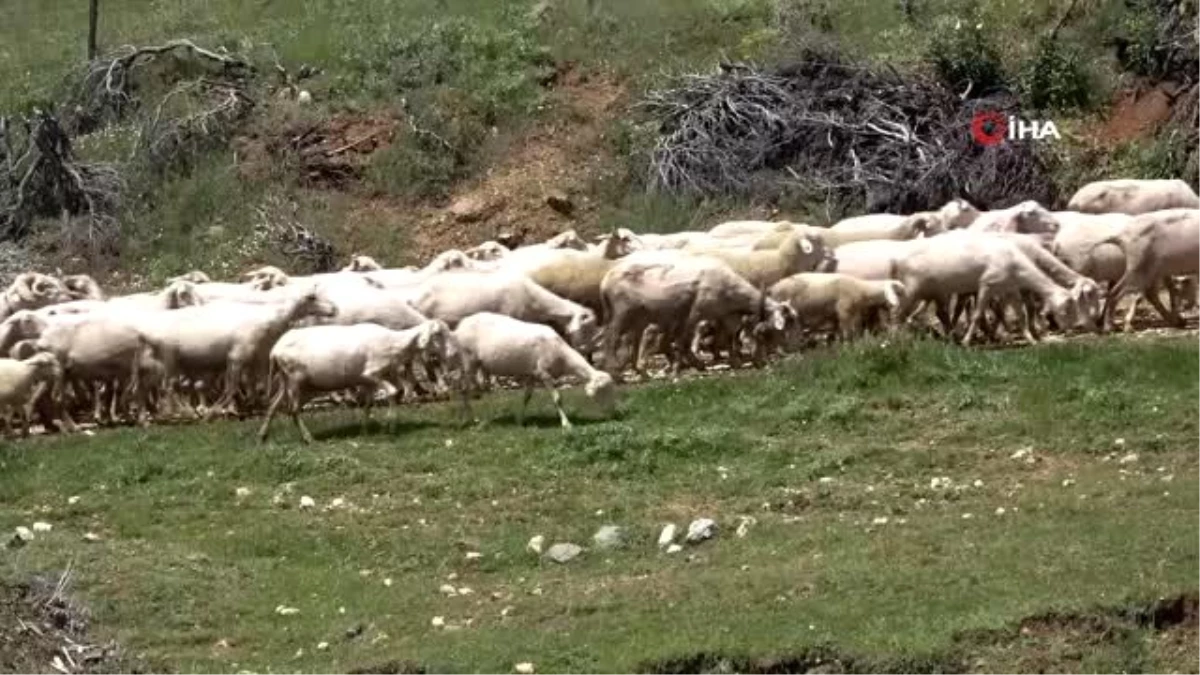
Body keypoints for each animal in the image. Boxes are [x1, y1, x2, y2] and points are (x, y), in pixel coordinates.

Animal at [260, 319, 460, 441]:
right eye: (438, 334)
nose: (453, 353)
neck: (393, 344)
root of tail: (274, 350)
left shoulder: (369, 381)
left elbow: (367, 404)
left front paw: (365, 431)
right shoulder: (371, 375)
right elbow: (393, 392)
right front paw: (391, 428)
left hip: (288, 381)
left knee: (273, 405)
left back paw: (263, 436)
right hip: (295, 380)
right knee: (292, 410)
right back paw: (309, 438)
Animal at [451, 309, 614, 425]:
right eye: (603, 391)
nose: (613, 412)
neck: (562, 355)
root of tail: (460, 327)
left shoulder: (533, 374)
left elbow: (526, 398)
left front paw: (520, 420)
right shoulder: (544, 373)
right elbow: (557, 398)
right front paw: (566, 423)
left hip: (477, 363)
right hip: (468, 360)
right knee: (464, 390)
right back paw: (470, 420)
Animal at [772, 270, 902, 338]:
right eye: (894, 291)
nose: (896, 307)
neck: (861, 289)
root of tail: (774, 287)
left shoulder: (847, 313)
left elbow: (851, 332)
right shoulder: (843, 311)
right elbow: (847, 334)